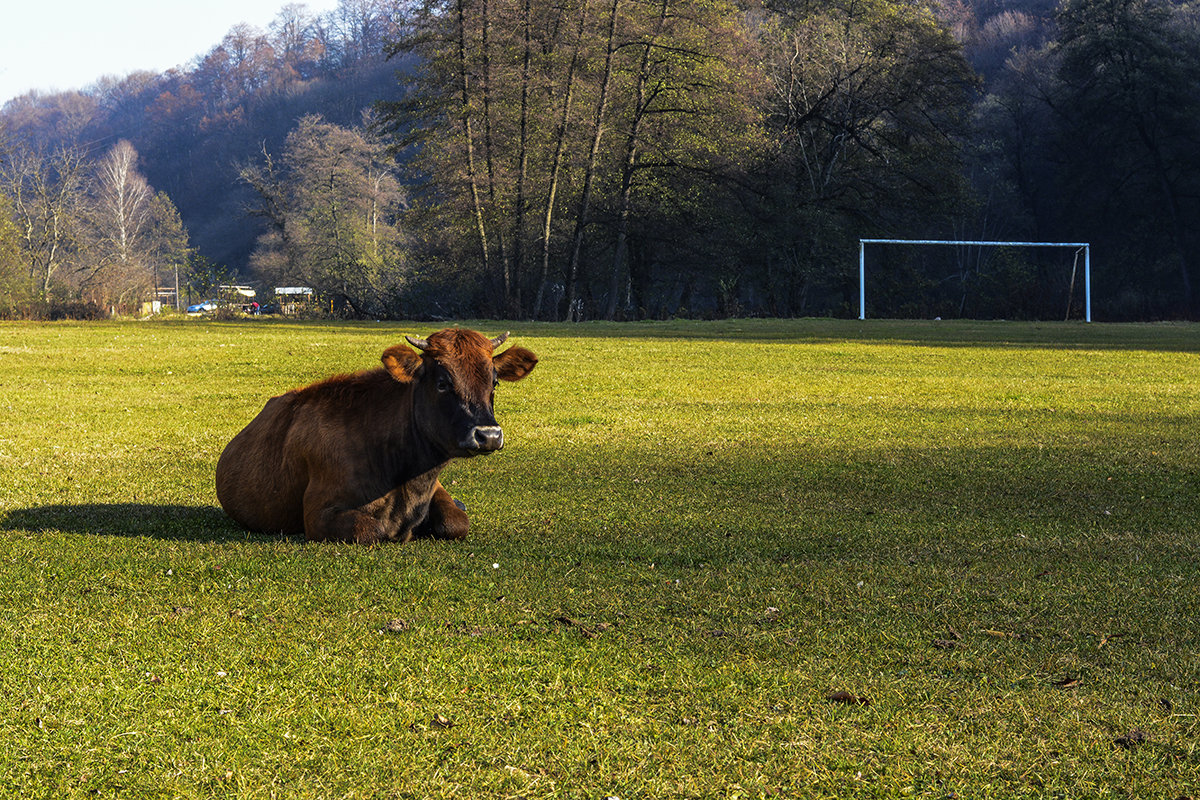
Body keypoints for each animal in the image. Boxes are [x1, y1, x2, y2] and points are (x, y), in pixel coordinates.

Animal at [213, 326, 537, 544]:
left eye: (494, 382)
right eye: (443, 383)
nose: (489, 435)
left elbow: (456, 522)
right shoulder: (317, 514)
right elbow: (372, 529)